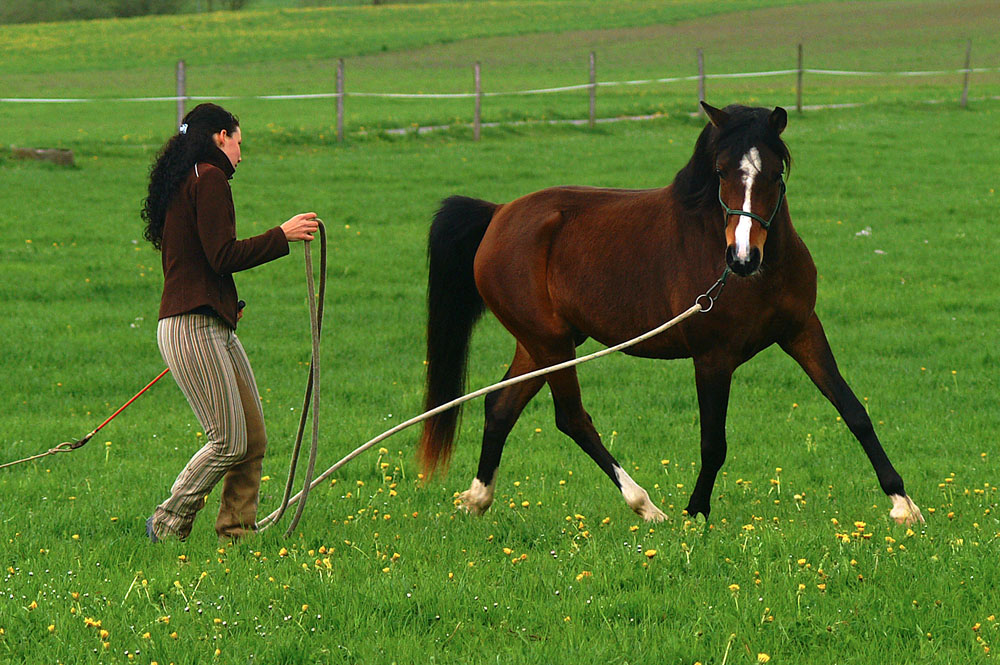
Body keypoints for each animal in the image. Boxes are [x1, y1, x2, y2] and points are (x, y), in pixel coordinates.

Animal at [414, 102, 920, 524]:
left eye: (776, 173)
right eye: (721, 171)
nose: (742, 258)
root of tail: (498, 214)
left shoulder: (802, 331)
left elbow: (854, 411)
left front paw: (902, 504)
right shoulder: (713, 357)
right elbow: (713, 442)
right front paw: (696, 512)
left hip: (545, 343)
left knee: (500, 406)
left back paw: (477, 499)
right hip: (550, 343)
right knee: (571, 418)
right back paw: (645, 506)